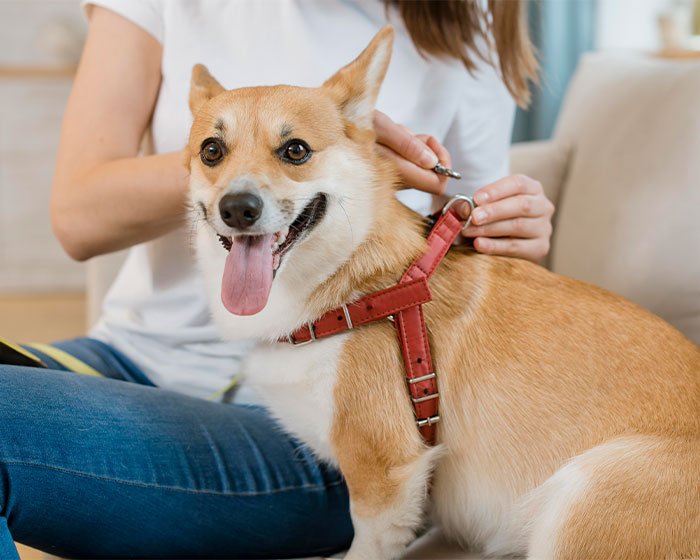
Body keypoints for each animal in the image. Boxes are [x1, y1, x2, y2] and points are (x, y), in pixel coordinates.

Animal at [187, 25, 700, 560]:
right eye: (211, 151)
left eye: (296, 151)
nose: (237, 208)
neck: (353, 288)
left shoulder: (384, 477)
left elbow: (364, 546)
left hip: (585, 495)